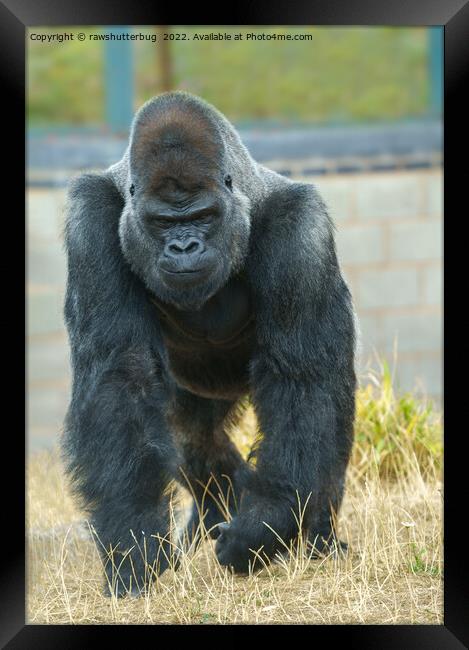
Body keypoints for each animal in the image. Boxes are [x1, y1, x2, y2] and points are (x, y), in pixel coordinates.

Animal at [62, 90, 354, 592]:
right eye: (162, 223)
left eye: (203, 216)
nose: (183, 247)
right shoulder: (90, 222)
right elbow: (121, 377)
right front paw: (134, 545)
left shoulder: (302, 231)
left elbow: (303, 382)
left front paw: (263, 526)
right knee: (192, 437)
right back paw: (215, 506)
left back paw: (318, 540)